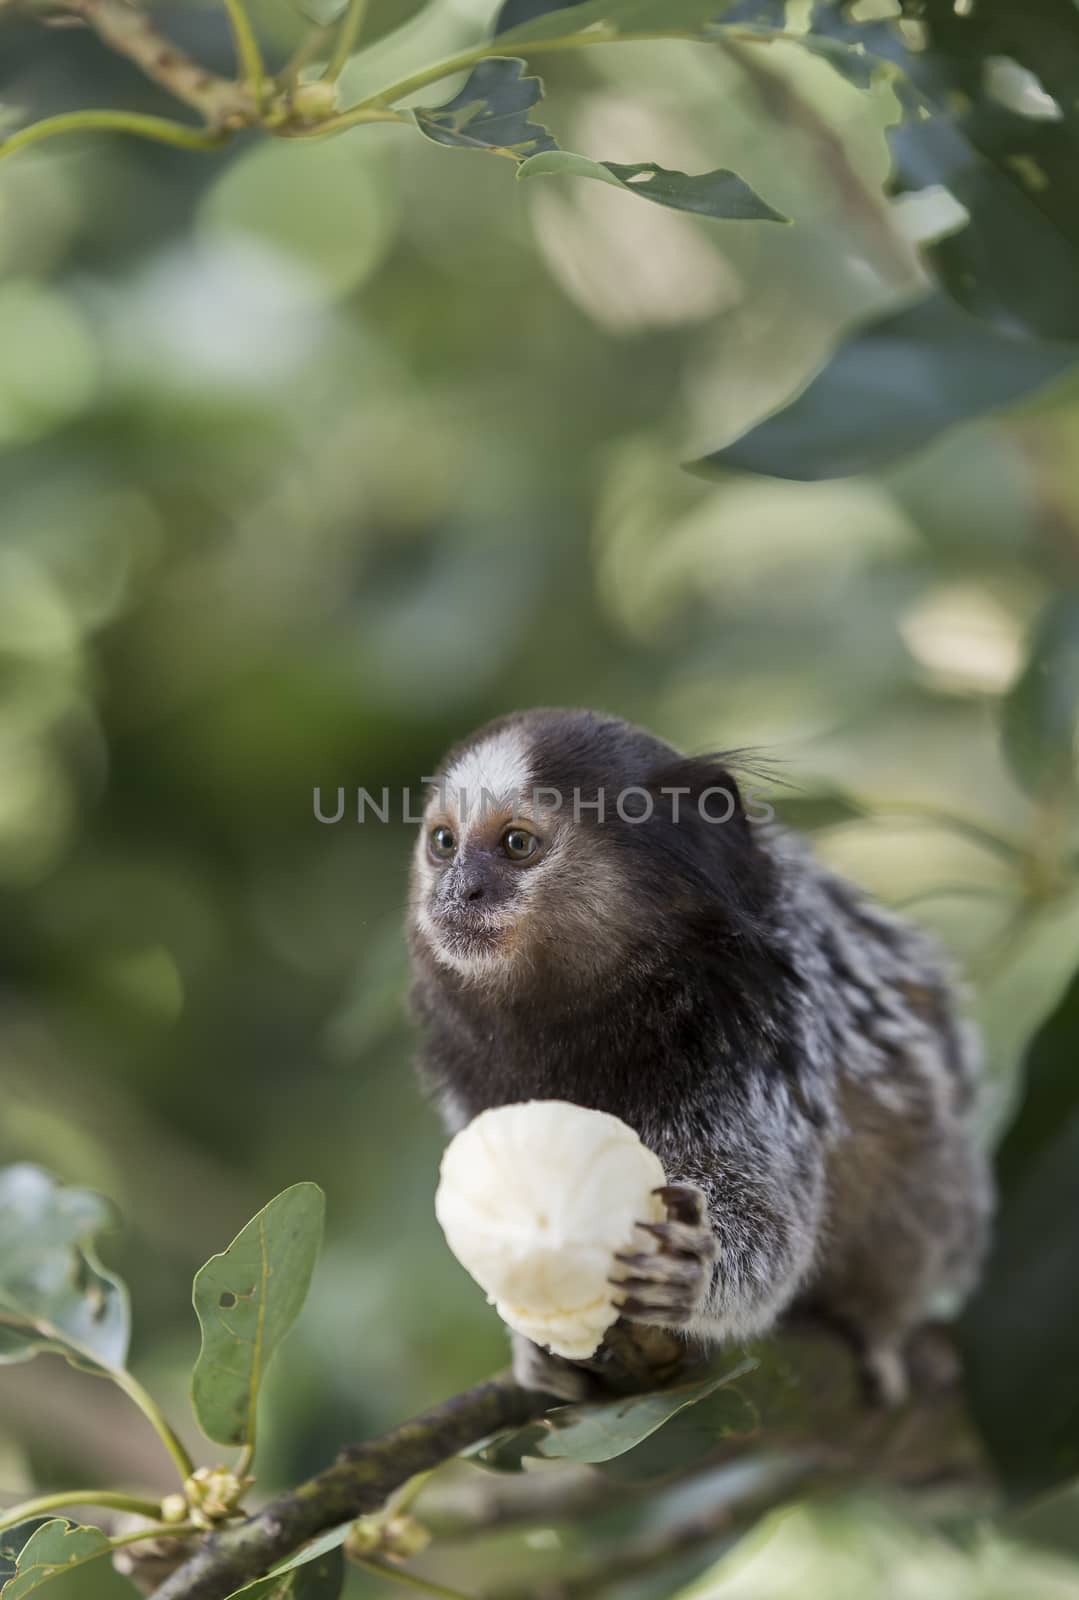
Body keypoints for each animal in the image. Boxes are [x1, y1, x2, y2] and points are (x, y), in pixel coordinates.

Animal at [405, 713, 992, 1401]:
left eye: (516, 844)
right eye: (444, 842)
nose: (457, 890)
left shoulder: (759, 1045)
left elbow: (775, 1226)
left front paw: (690, 1267)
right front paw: (536, 1349)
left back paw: (878, 1327)